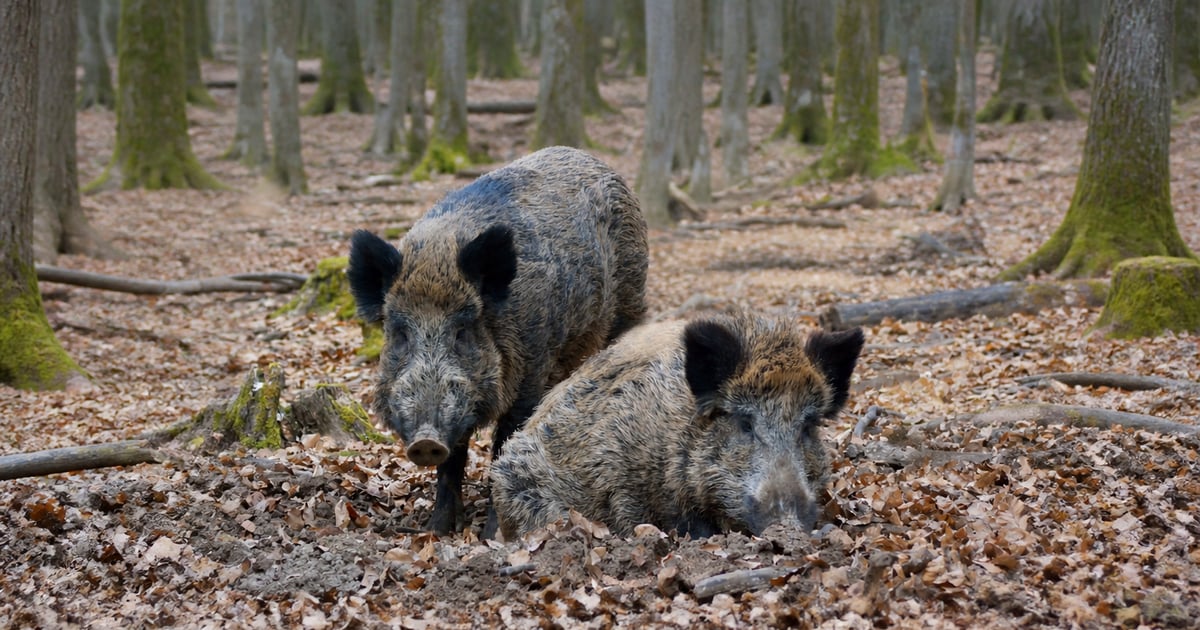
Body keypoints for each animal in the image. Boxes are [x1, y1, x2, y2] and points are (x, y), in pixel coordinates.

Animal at [347, 146, 648, 535]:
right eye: (400, 333)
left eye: (463, 331)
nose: (426, 441)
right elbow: (452, 461)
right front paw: (438, 531)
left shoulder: (531, 373)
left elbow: (503, 446)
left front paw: (491, 535)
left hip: (630, 299)